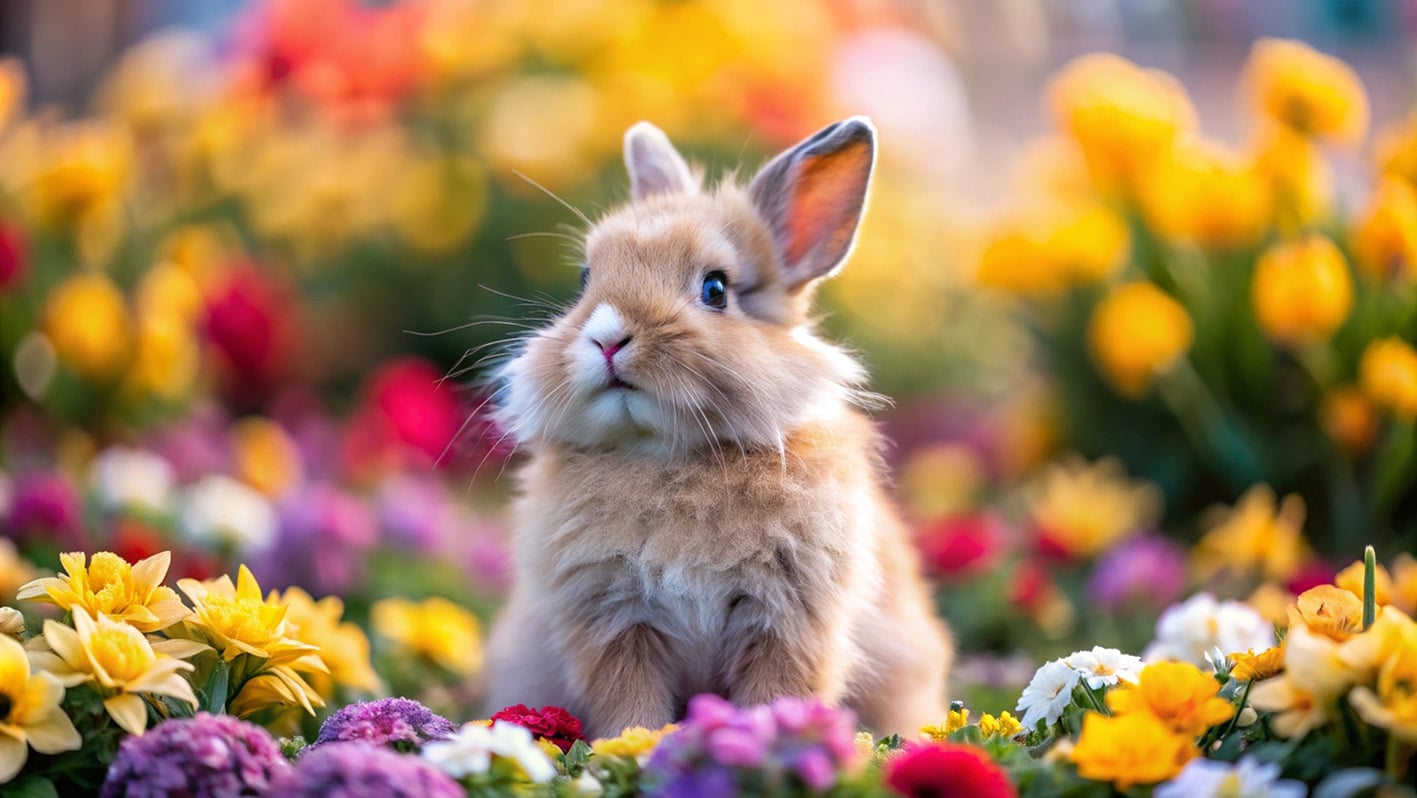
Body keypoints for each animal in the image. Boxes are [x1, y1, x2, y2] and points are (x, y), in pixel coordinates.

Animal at [485, 117, 952, 739]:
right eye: (585, 281)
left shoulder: (789, 623)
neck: (669, 457)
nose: (607, 337)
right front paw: (635, 745)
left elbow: (777, 691)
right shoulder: (614, 626)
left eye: (716, 290)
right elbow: (629, 703)